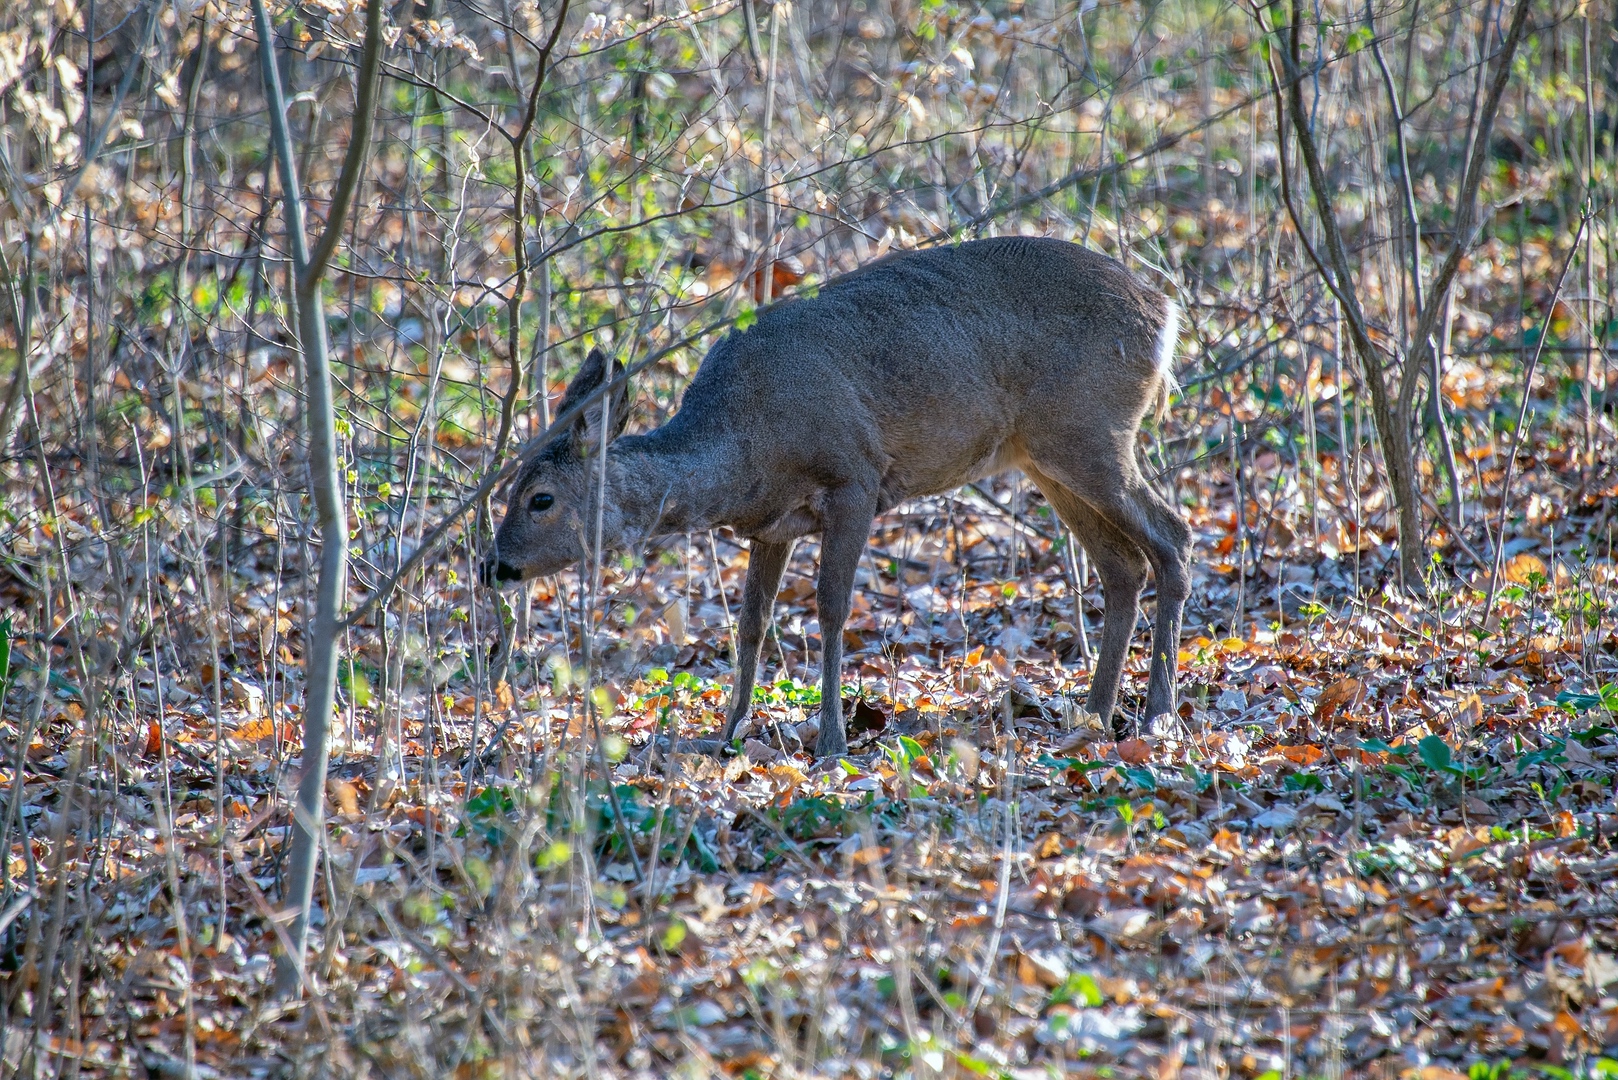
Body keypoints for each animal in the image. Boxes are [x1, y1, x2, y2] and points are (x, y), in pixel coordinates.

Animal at [478, 238, 1190, 761]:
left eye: (539, 498)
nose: (492, 565)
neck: (746, 444)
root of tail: (1164, 313)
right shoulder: (771, 527)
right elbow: (751, 626)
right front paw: (726, 735)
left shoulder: (856, 478)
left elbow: (830, 609)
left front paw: (830, 741)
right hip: (1046, 457)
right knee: (1123, 566)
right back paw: (1094, 715)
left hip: (1093, 431)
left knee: (1172, 536)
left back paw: (1157, 716)